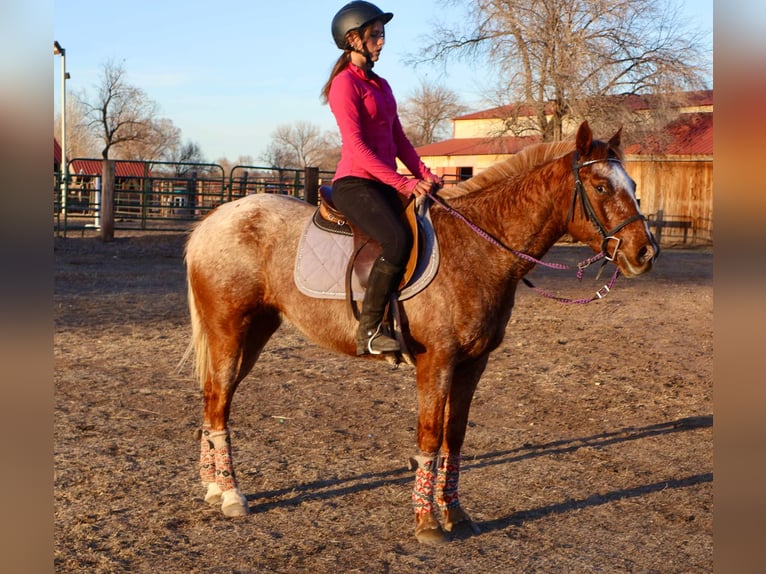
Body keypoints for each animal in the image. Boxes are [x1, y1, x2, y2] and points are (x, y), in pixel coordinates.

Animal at [182, 121, 658, 544]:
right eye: (601, 187)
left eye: (633, 182)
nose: (645, 252)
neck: (477, 248)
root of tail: (213, 221)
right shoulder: (437, 361)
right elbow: (430, 435)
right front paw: (427, 522)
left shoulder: (473, 364)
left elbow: (455, 436)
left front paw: (456, 513)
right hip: (230, 331)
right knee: (219, 402)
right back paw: (231, 495)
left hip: (254, 332)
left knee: (214, 399)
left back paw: (213, 487)